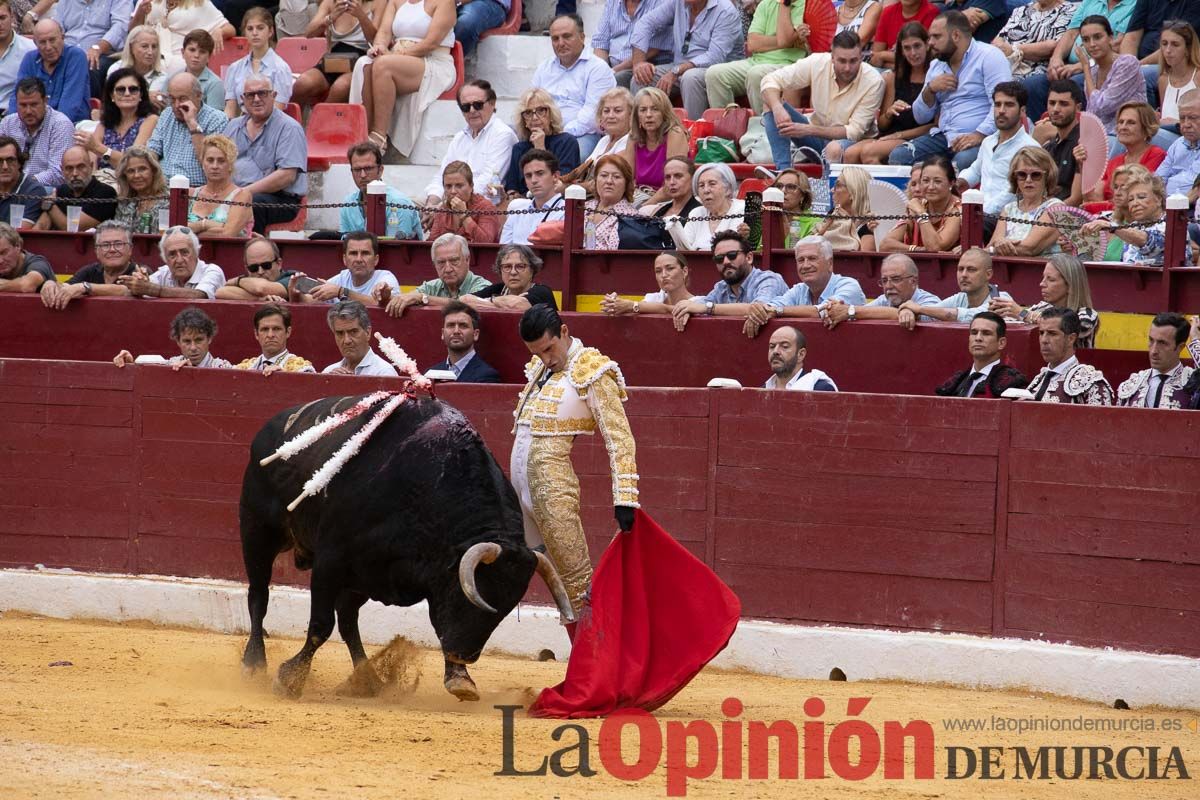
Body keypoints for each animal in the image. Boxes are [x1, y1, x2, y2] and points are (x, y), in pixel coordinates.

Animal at [240, 393, 576, 700]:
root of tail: (269, 428)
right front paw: (290, 679)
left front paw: (460, 679)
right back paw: (254, 663)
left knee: (348, 619)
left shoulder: (425, 578)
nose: (463, 655)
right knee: (259, 595)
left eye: (504, 610)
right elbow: (321, 624)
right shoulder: (330, 561)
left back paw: (368, 680)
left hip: (360, 579)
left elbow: (436, 623)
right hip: (257, 532)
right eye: (473, 596)